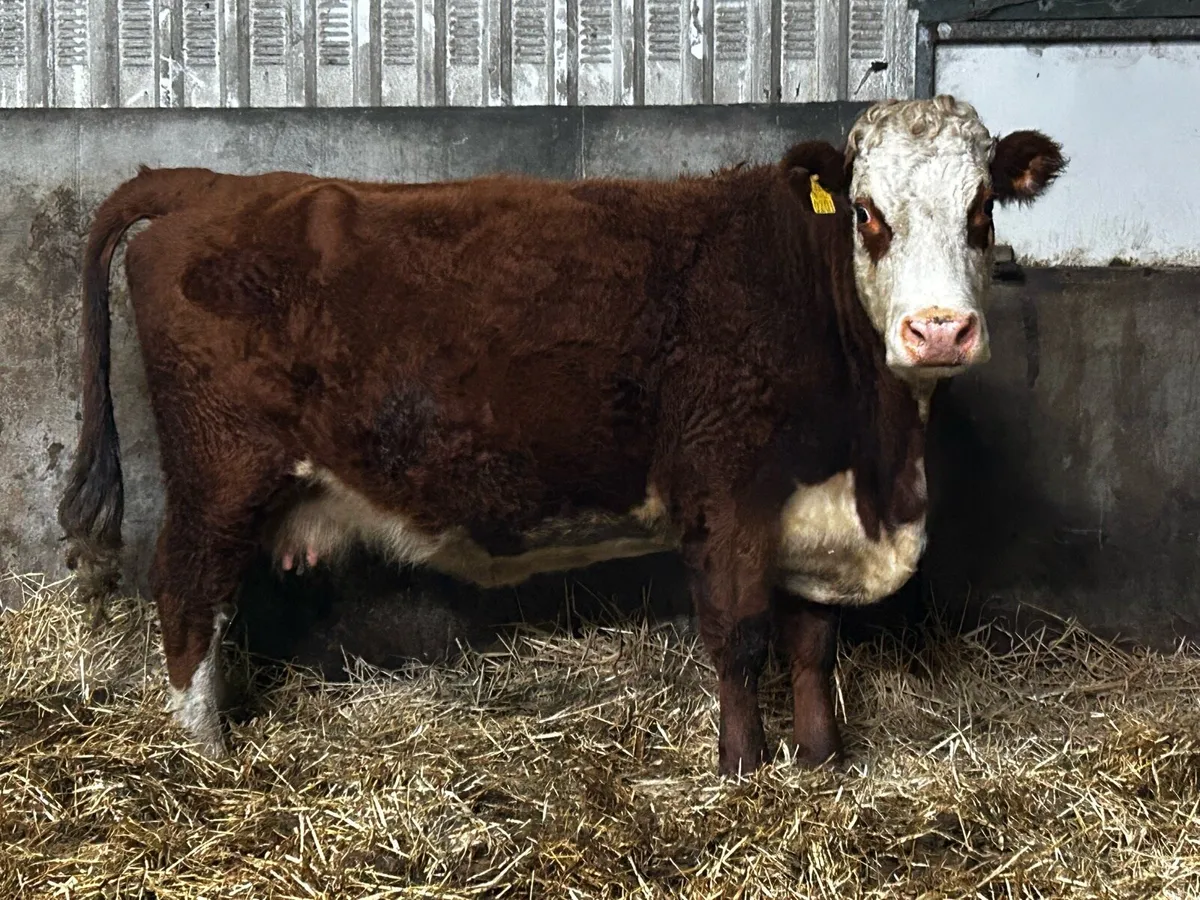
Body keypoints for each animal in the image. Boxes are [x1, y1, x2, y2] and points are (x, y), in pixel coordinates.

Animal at [58, 96, 1065, 775]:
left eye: (982, 209)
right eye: (866, 212)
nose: (939, 330)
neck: (876, 458)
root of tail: (212, 186)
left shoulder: (814, 512)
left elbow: (813, 642)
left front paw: (821, 762)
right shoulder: (723, 490)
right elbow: (739, 637)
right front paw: (743, 772)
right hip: (220, 471)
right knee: (186, 594)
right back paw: (206, 758)